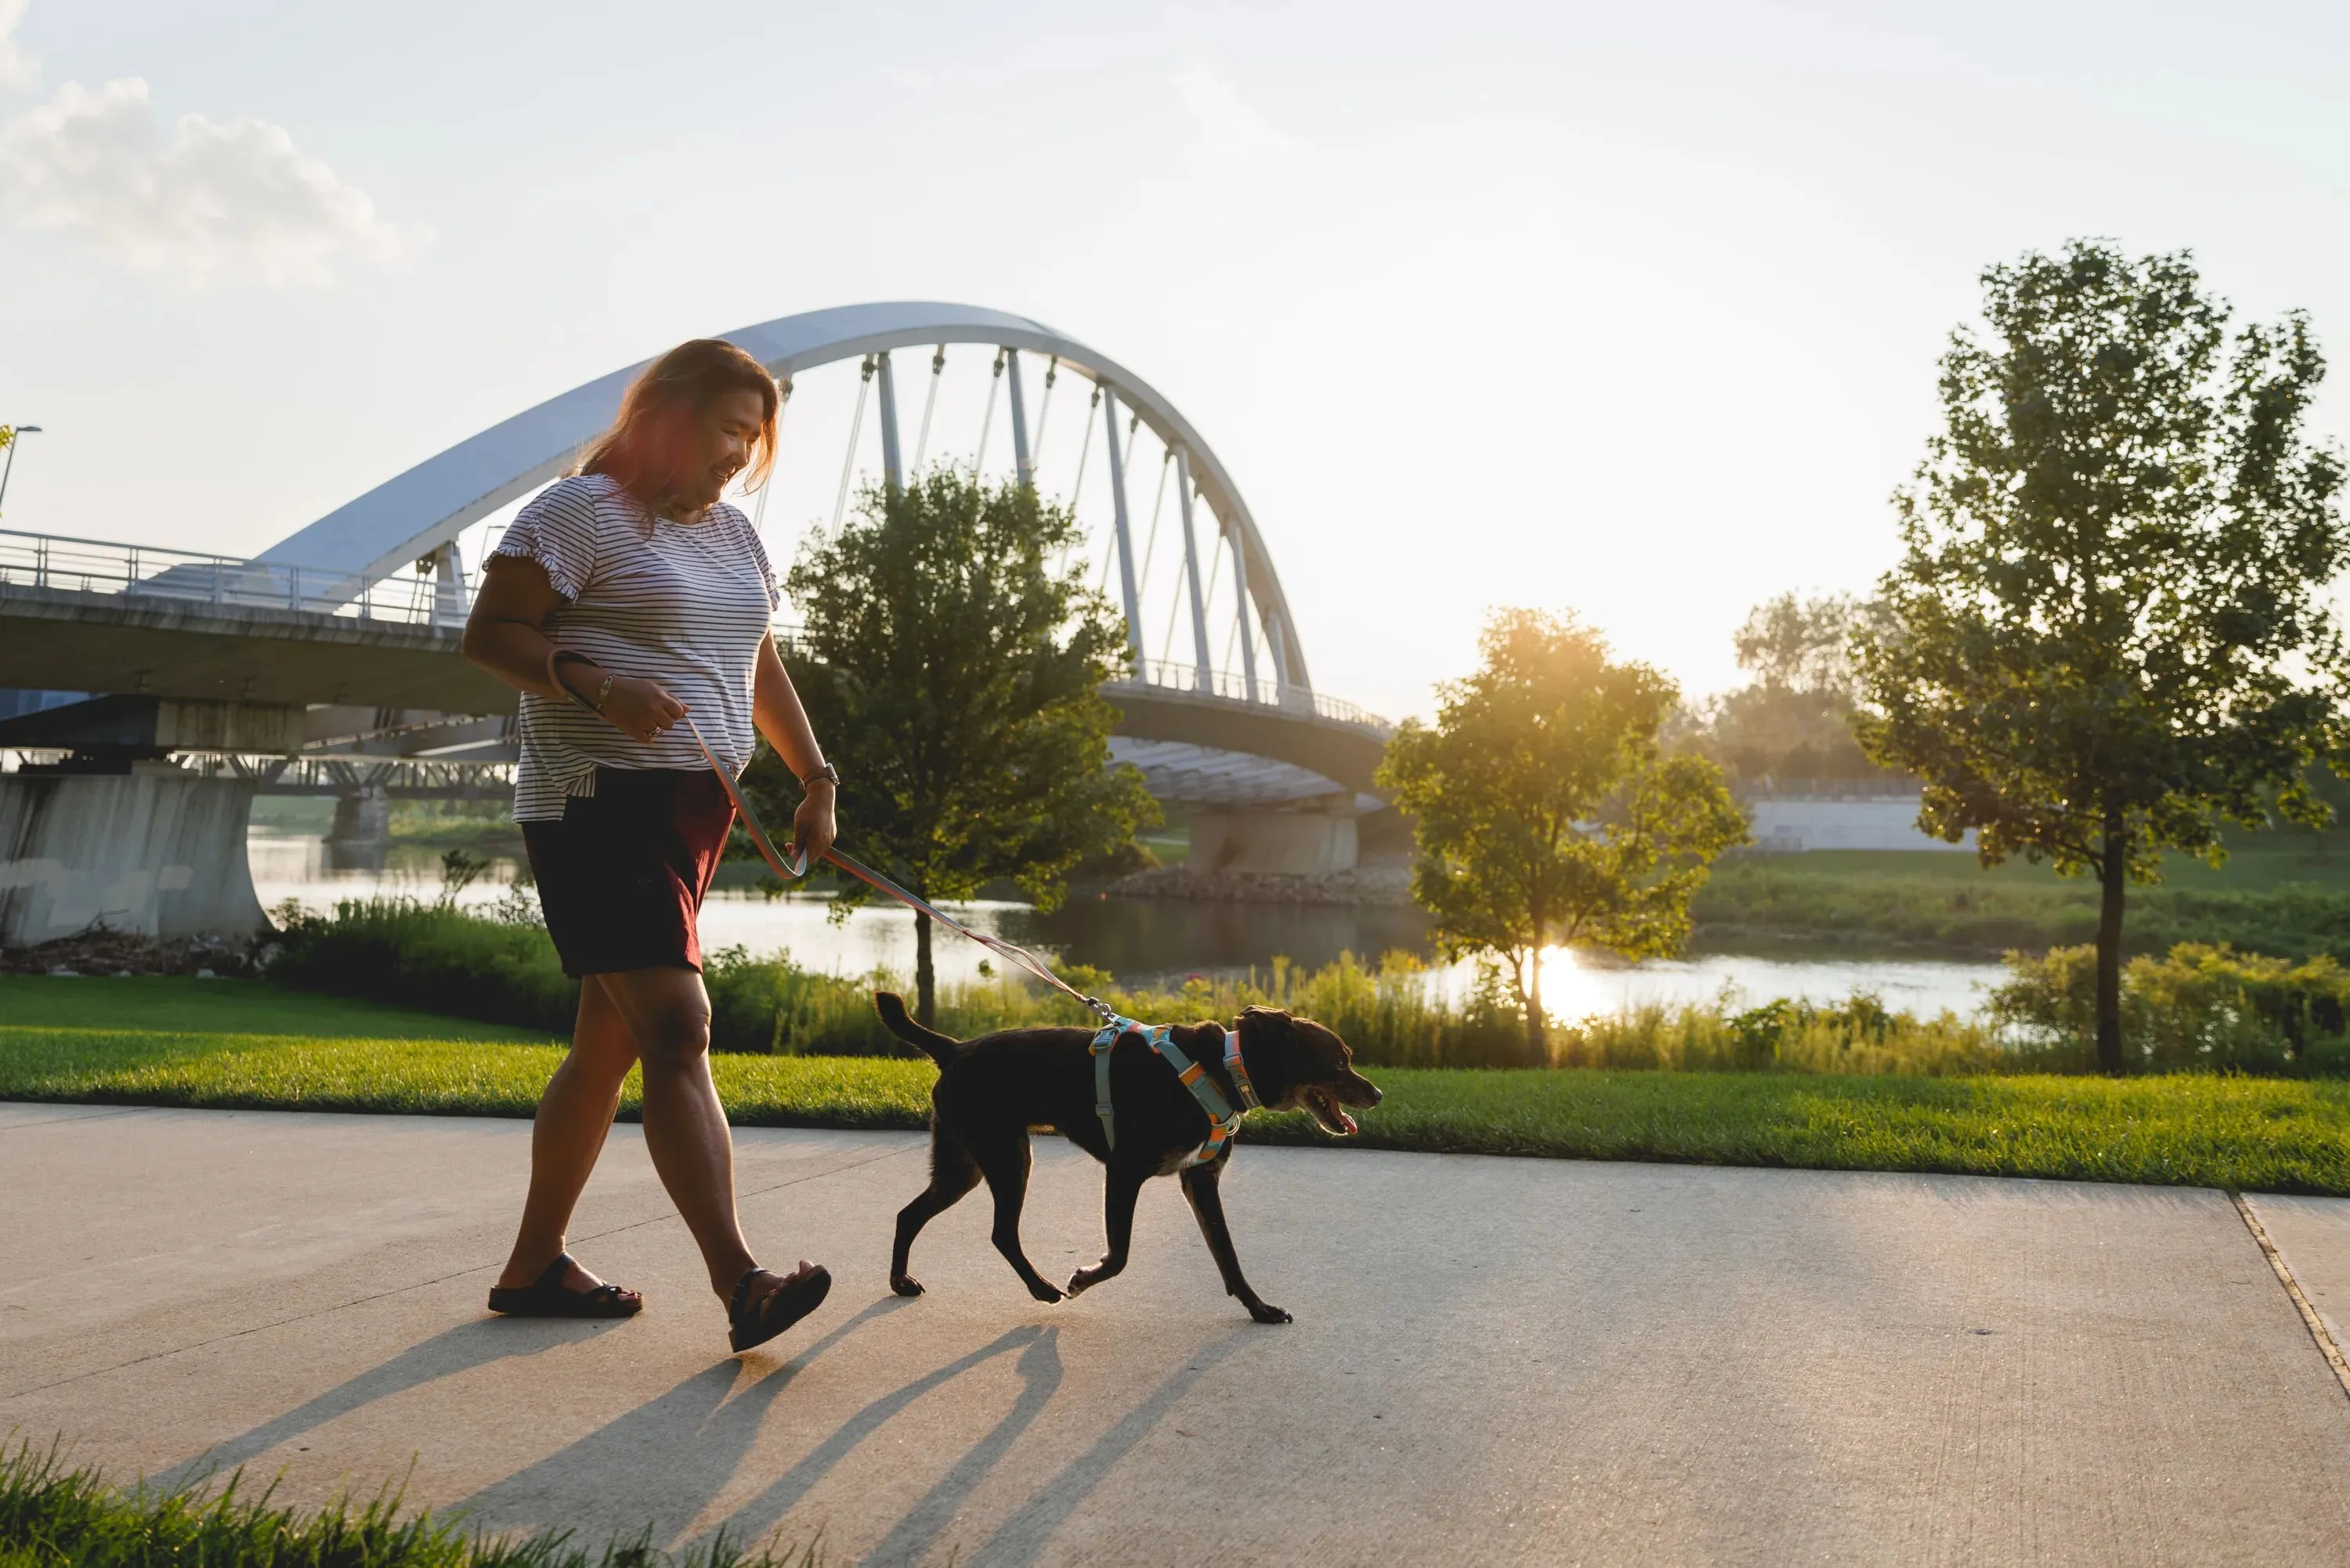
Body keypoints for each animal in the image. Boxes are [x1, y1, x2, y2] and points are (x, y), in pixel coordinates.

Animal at [879, 992, 1372, 1325]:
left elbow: (1227, 1254)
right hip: (1006, 1154)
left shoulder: (1200, 1178)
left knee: (909, 1214)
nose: (1379, 1094)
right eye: (1339, 1063)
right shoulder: (1124, 1171)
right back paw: (1043, 1288)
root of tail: (954, 1048)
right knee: (1002, 1233)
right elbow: (1119, 1255)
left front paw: (1259, 1308)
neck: (1223, 1069)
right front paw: (1082, 1278)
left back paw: (900, 1282)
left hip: (962, 1162)